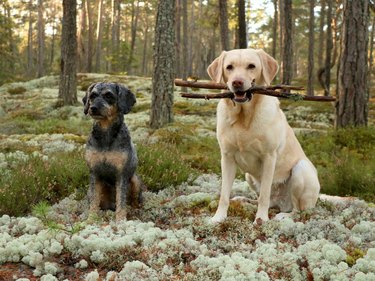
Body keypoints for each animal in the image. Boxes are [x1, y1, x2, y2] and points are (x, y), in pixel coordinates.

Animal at [83, 82, 143, 220]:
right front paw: (91, 219)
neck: (106, 134)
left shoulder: (121, 174)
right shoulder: (94, 172)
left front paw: (121, 220)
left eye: (108, 95)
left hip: (135, 180)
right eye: (92, 96)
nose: (93, 108)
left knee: (134, 202)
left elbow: (121, 201)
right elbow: (94, 200)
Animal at [209, 48, 320, 223]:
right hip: (248, 176)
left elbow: (264, 196)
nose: (237, 83)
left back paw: (283, 215)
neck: (244, 117)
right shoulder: (227, 157)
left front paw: (260, 220)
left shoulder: (269, 157)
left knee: (298, 210)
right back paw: (243, 199)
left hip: (301, 170)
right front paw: (218, 217)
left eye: (251, 66)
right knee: (263, 199)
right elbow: (224, 195)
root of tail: (280, 203)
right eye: (229, 67)